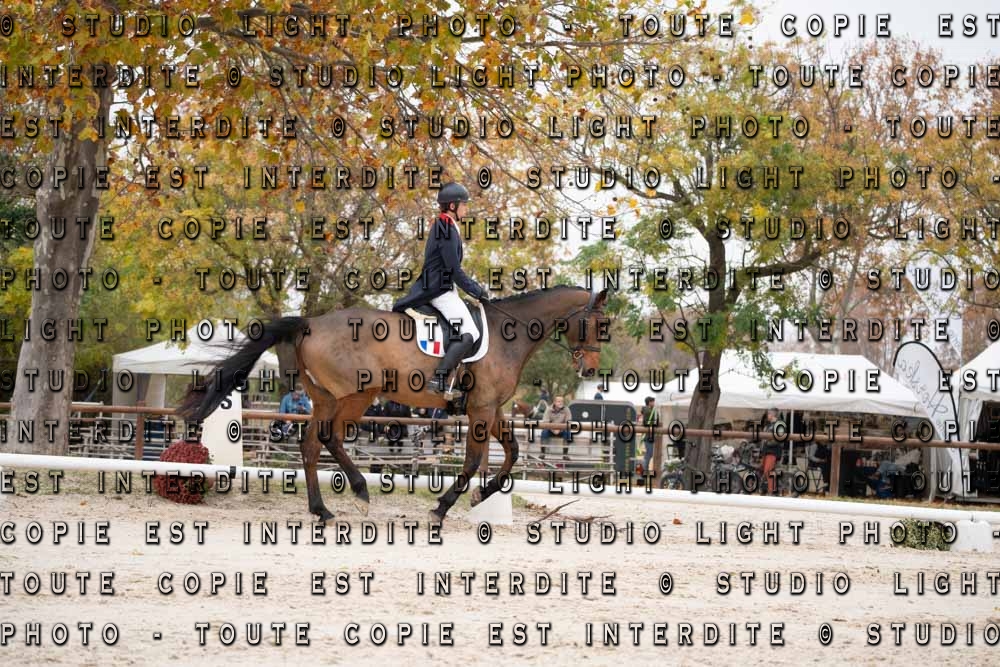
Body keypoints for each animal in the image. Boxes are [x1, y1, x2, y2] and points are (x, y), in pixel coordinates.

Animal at [178, 286, 610, 524]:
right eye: (599, 324)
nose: (590, 368)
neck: (509, 334)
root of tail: (310, 323)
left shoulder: (494, 409)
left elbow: (514, 451)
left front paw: (479, 496)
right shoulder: (482, 409)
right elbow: (473, 461)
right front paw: (442, 508)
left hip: (328, 397)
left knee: (312, 445)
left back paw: (324, 509)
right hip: (354, 395)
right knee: (327, 440)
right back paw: (357, 494)